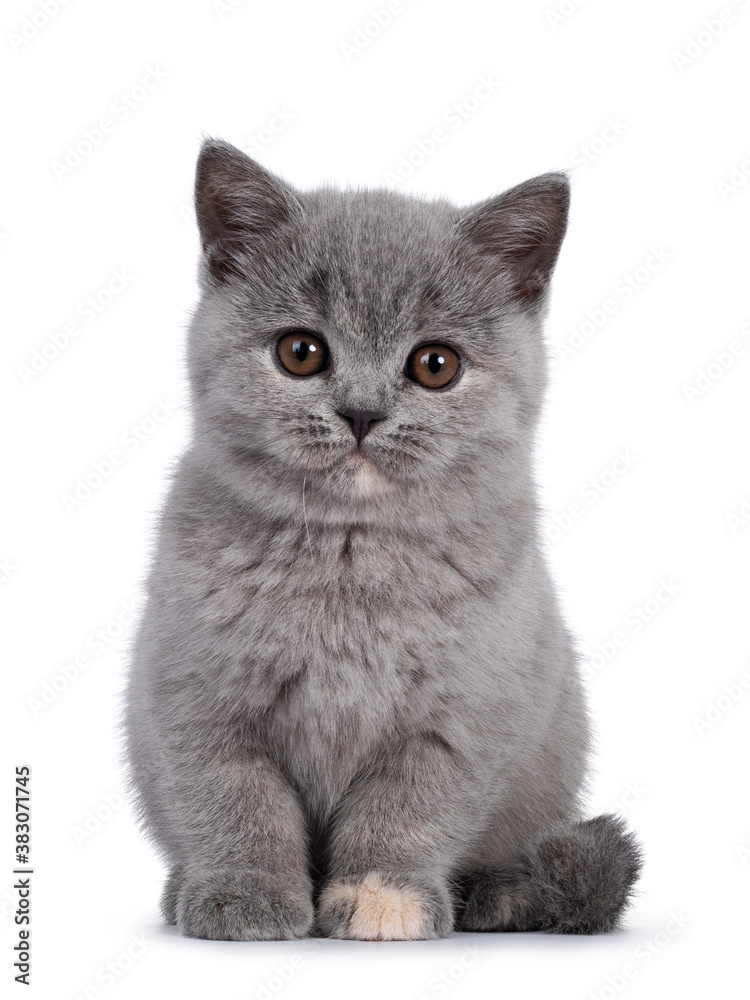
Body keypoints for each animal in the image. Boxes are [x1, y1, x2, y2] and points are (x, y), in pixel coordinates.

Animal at [125, 139, 648, 936]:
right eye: (301, 352)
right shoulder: (196, 696)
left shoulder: (459, 718)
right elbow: (237, 802)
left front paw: (383, 899)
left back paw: (504, 894)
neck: (350, 552)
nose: (362, 412)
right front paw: (245, 895)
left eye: (436, 365)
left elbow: (404, 813)